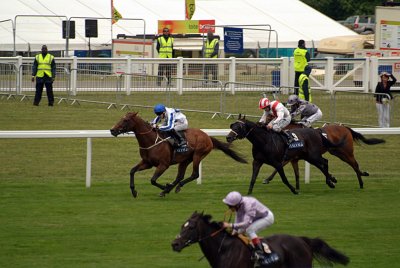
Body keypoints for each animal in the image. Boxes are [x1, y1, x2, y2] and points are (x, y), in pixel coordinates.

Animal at [110, 112, 247, 198]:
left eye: (125, 120)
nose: (112, 130)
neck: (151, 140)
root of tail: (207, 136)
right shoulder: (147, 163)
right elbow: (132, 171)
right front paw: (134, 191)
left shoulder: (163, 164)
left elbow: (153, 180)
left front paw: (164, 188)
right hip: (185, 160)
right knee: (180, 176)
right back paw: (171, 188)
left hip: (198, 155)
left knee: (194, 174)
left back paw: (172, 188)